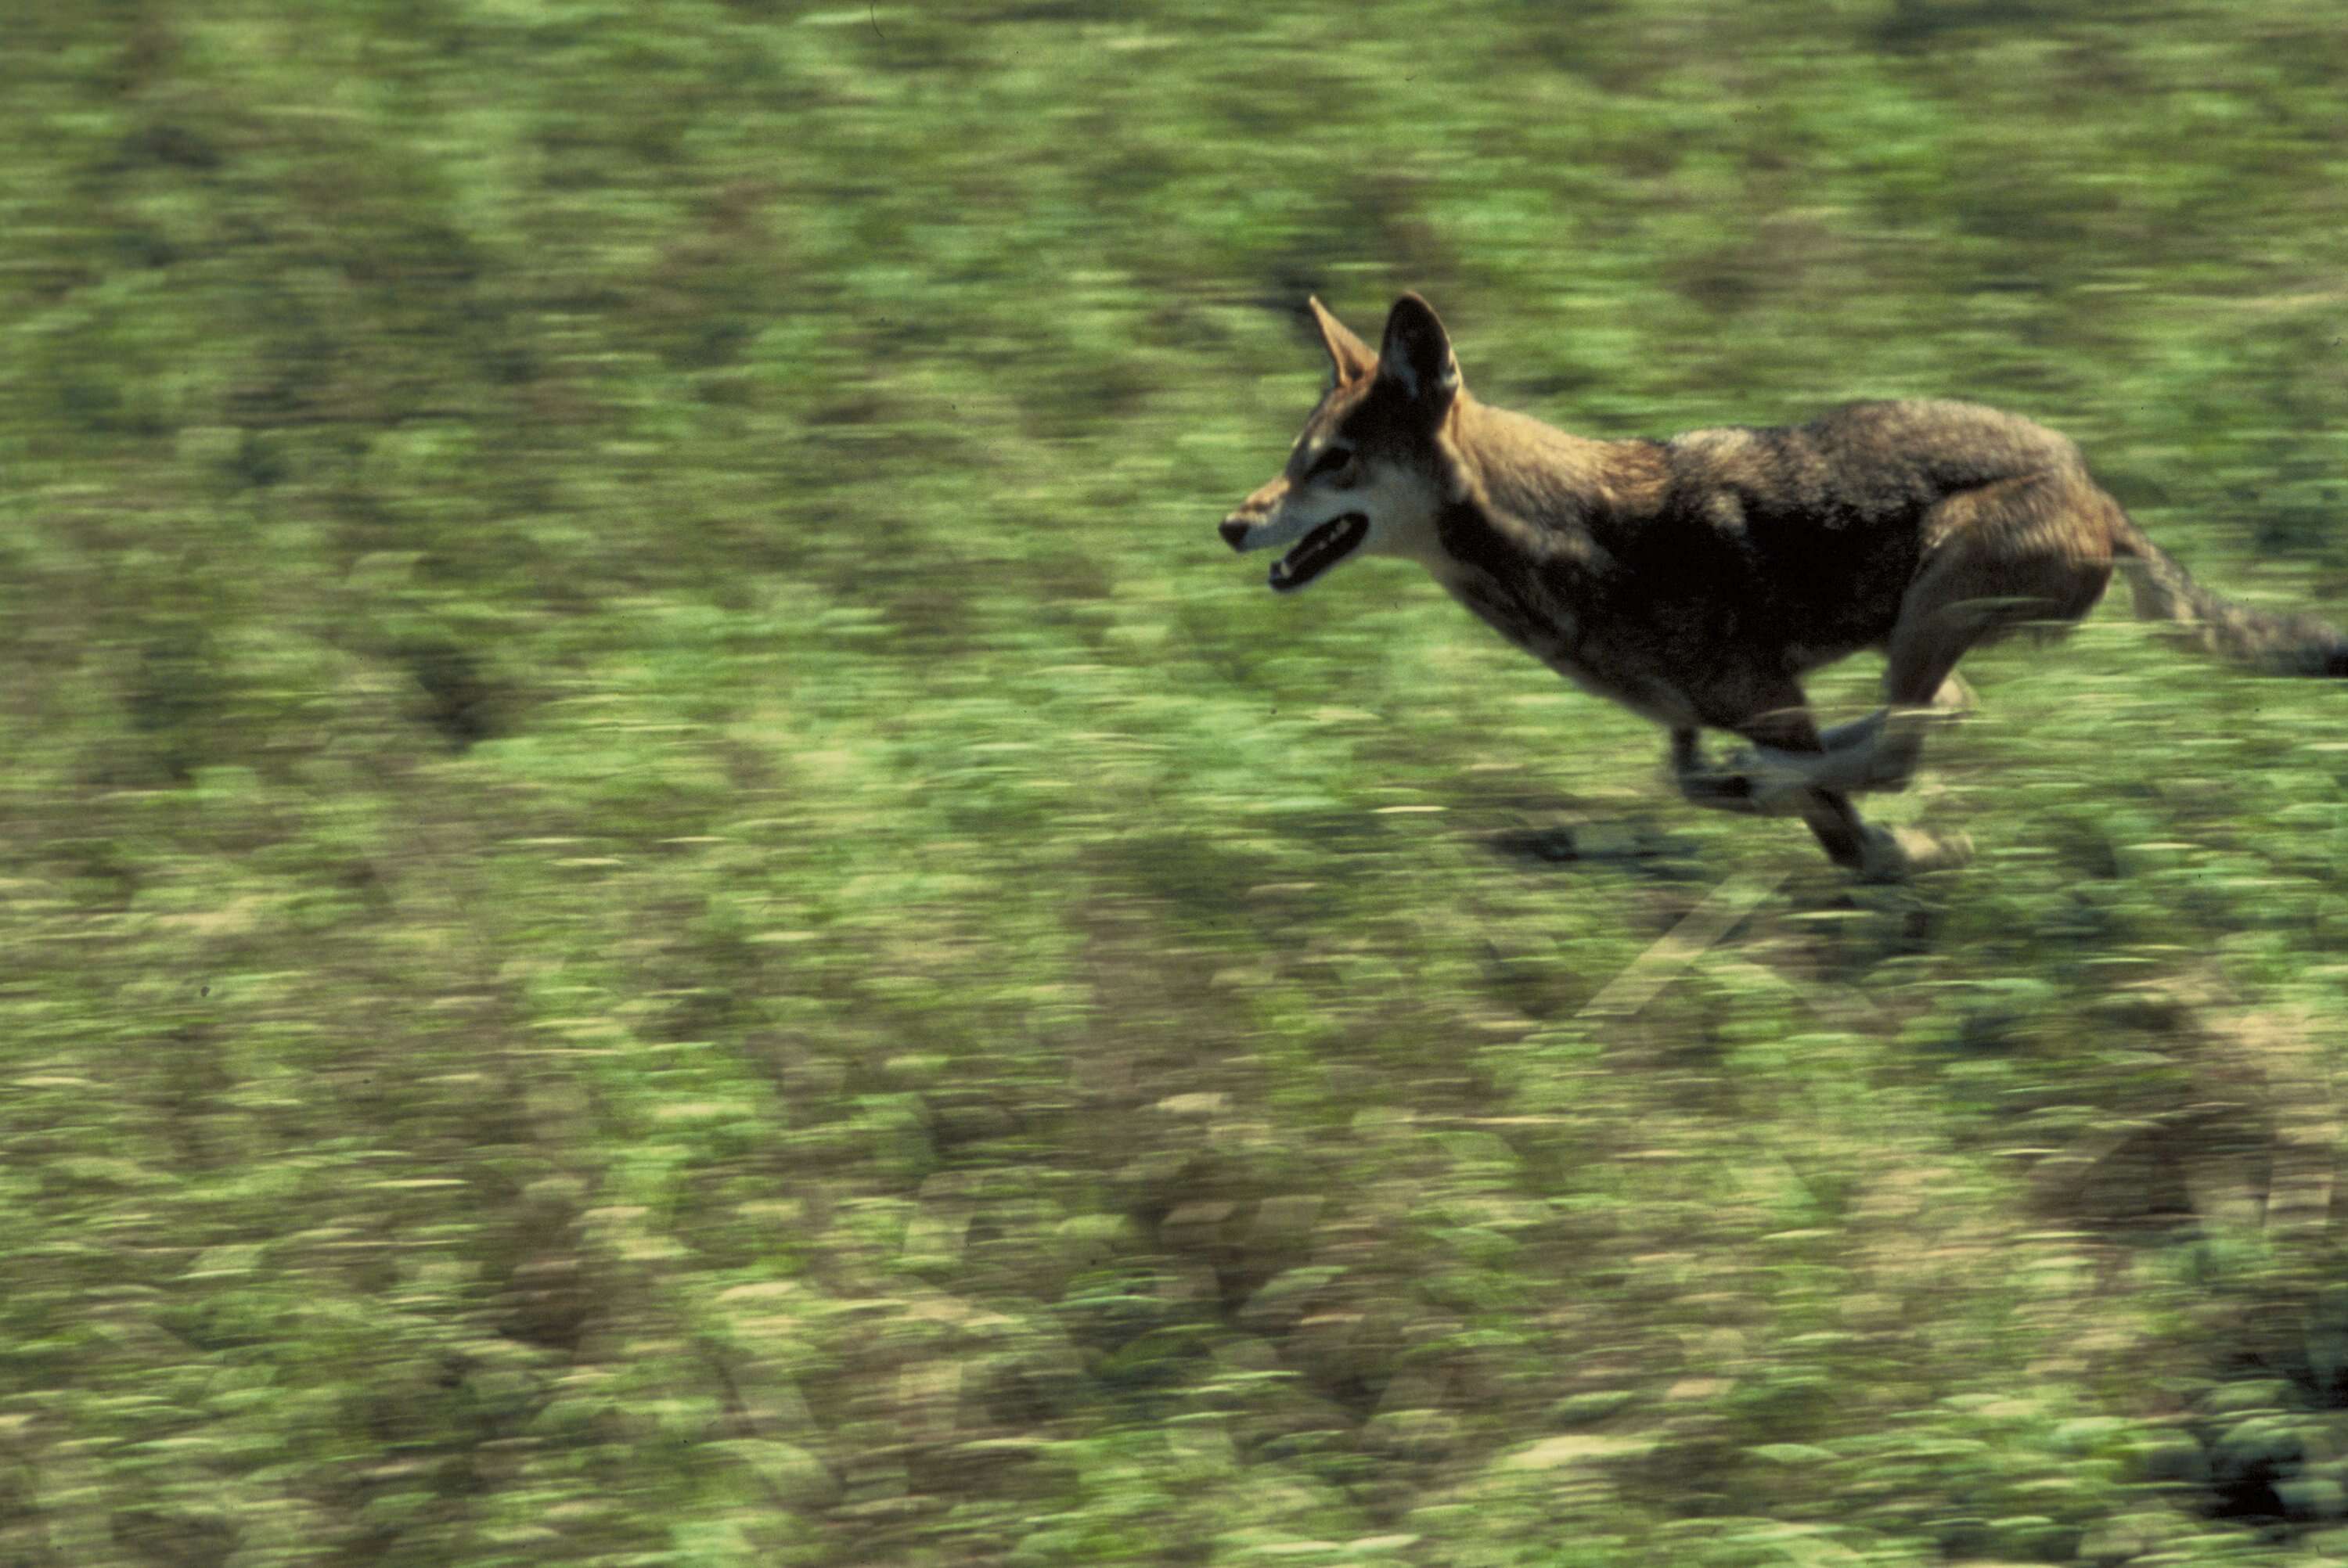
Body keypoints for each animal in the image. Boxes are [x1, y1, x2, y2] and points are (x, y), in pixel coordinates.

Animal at [1230, 291, 2348, 883]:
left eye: (1333, 464)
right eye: (1294, 457)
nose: (1232, 524)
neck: (1566, 536)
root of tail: (2099, 490)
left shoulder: (1765, 698)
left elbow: (1847, 824)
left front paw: (1895, 842)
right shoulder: (1714, 712)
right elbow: (1723, 785)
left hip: (1938, 583)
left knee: (1903, 739)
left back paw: (1786, 778)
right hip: (1917, 628)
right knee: (1930, 715)